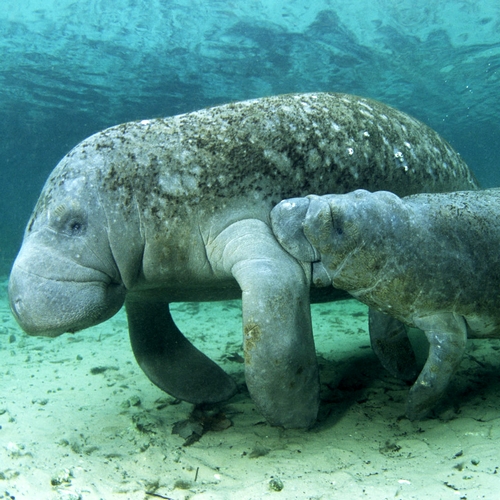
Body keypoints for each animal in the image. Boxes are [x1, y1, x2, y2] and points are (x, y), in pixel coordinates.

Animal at [6, 92, 476, 428]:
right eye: (30, 223)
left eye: (73, 224)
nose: (20, 303)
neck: (153, 191)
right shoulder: (144, 283)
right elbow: (151, 346)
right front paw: (218, 391)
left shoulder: (248, 229)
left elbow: (272, 325)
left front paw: (295, 418)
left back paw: (403, 368)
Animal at [274, 189, 500, 420]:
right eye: (356, 192)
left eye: (338, 226)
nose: (286, 205)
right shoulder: (385, 295)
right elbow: (384, 336)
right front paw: (404, 370)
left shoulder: (447, 320)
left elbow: (437, 371)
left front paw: (414, 412)